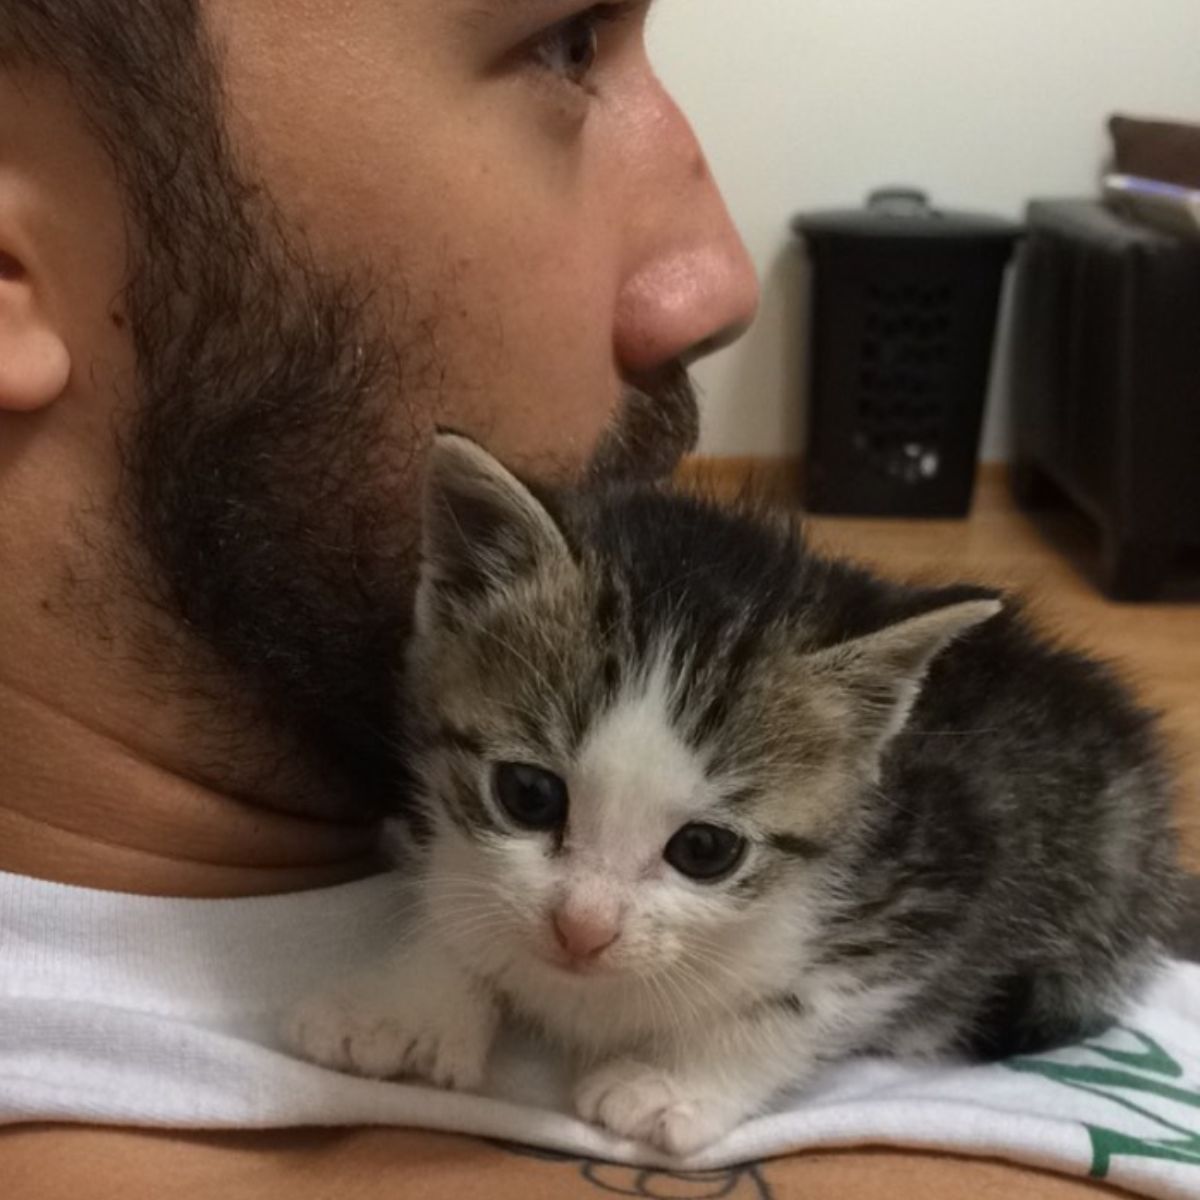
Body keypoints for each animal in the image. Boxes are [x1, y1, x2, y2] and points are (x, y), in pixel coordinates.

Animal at [283, 436, 1180, 1156]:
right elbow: (457, 890)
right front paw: (405, 1009)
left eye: (705, 851)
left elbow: (808, 999)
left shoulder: (939, 869)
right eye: (529, 795)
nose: (582, 931)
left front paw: (672, 1083)